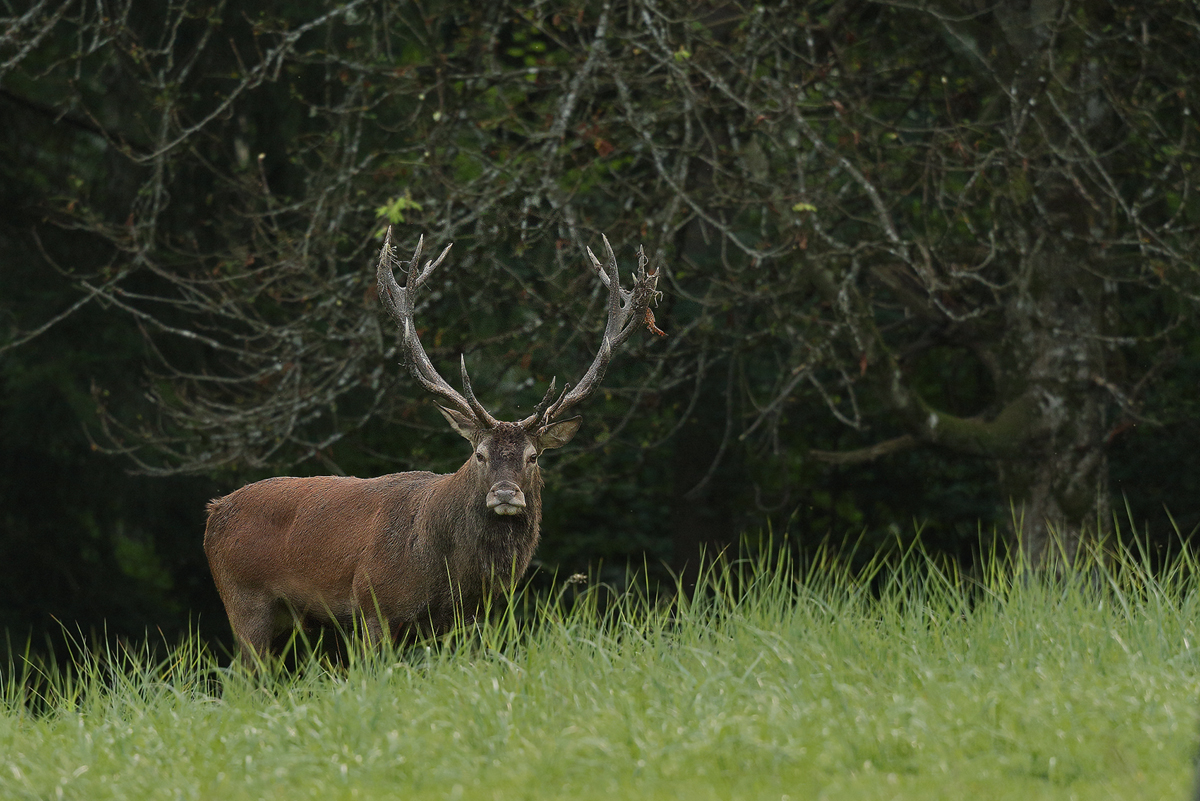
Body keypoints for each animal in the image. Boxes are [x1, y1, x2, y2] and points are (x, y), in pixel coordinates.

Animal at [201, 226, 662, 661]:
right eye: (479, 454)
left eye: (533, 457)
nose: (506, 494)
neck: (449, 574)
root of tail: (213, 511)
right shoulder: (373, 605)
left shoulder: (467, 620)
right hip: (243, 600)